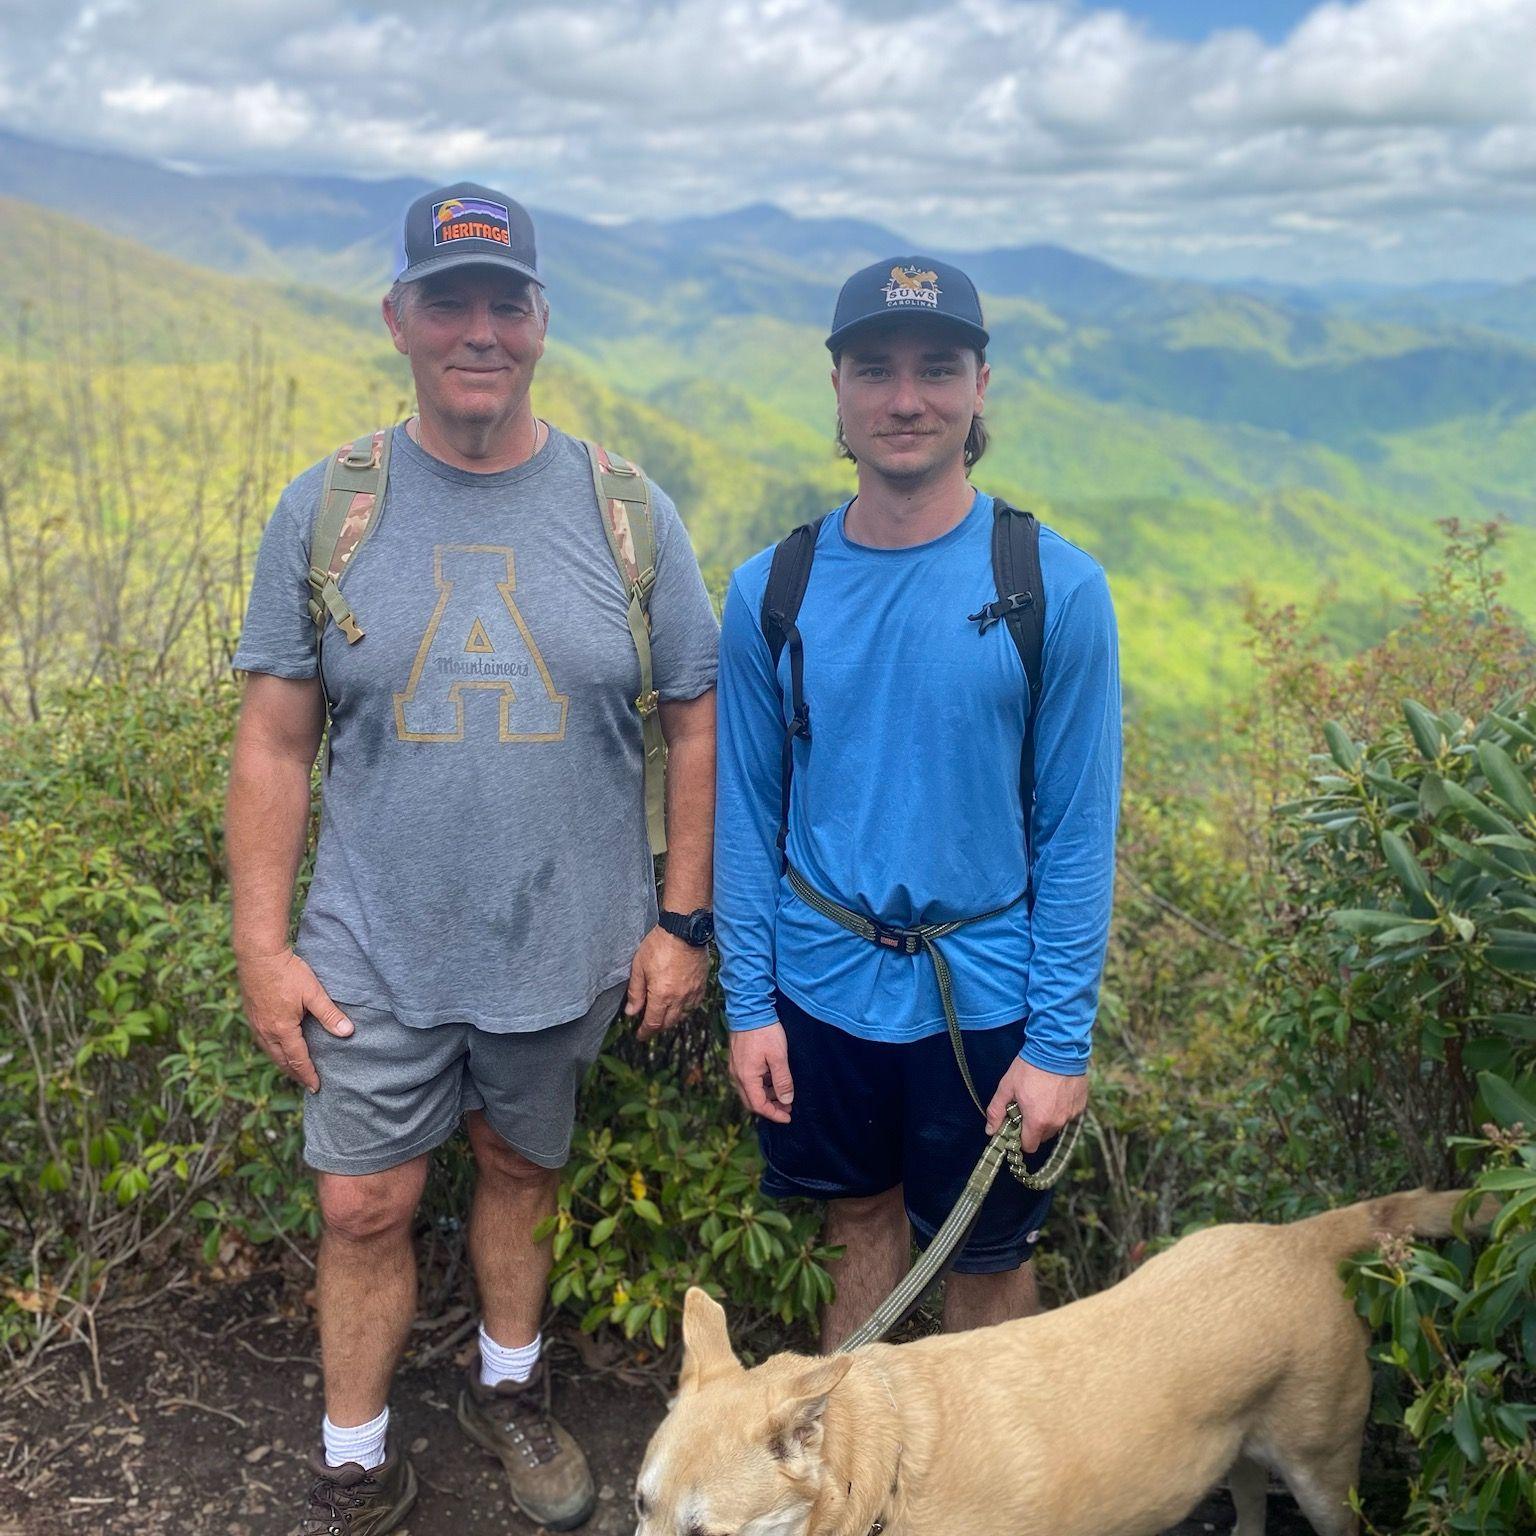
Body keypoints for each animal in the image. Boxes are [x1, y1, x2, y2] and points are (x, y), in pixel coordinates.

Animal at [634, 1189, 1484, 1536]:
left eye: (708, 1534)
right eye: (640, 1505)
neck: (880, 1477)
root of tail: (1300, 1237)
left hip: (1325, 1481)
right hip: (1239, 1454)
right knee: (1246, 1516)